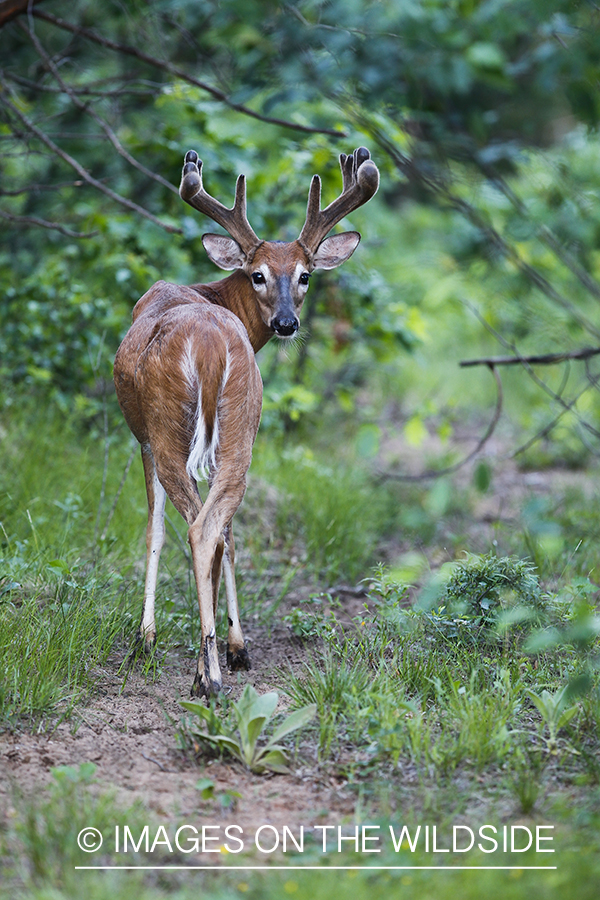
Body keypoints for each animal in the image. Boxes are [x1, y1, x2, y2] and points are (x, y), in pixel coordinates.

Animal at [112, 146, 380, 696]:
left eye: (305, 275)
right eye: (258, 274)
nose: (286, 323)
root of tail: (212, 345)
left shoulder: (142, 438)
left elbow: (155, 530)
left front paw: (147, 638)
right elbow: (230, 540)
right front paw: (237, 646)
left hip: (168, 429)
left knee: (198, 529)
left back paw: (207, 676)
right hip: (241, 426)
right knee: (218, 528)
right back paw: (215, 660)